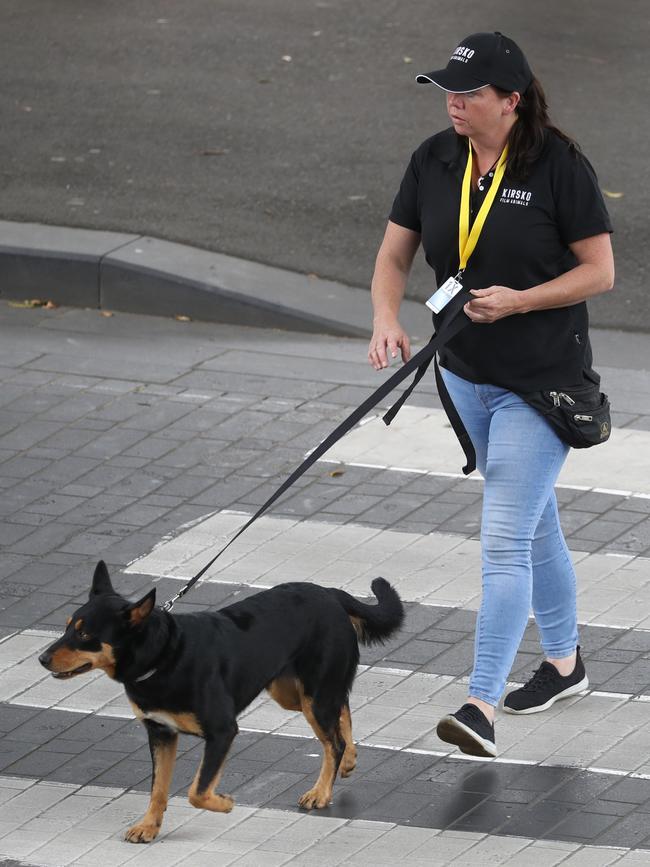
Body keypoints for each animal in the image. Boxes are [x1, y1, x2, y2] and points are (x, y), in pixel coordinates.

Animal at [38, 564, 402, 840]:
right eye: (68, 627)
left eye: (86, 635)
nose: (41, 659)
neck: (164, 656)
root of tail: (329, 593)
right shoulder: (161, 733)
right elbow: (158, 789)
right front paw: (149, 827)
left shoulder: (222, 731)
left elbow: (197, 791)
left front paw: (224, 803)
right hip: (293, 694)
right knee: (342, 712)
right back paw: (349, 759)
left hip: (312, 695)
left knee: (332, 740)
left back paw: (321, 792)